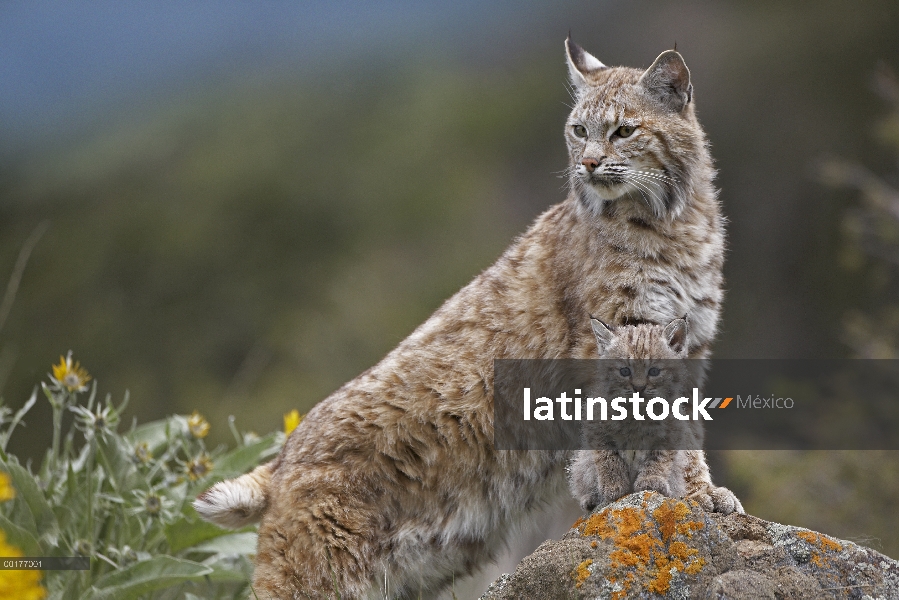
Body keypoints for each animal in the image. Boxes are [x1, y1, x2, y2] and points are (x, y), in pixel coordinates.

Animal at [568, 318, 744, 516]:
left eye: (654, 371)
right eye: (624, 371)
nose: (638, 388)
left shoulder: (672, 430)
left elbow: (663, 459)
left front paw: (651, 483)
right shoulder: (596, 427)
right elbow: (607, 458)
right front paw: (613, 488)